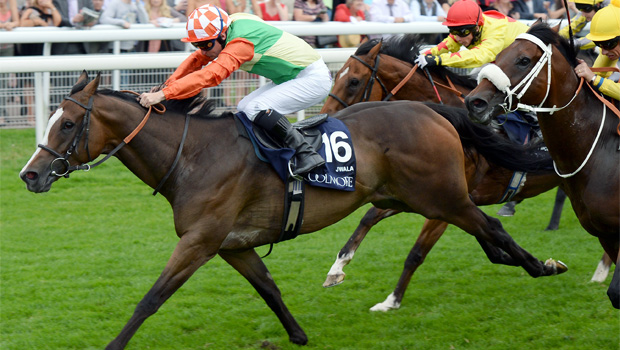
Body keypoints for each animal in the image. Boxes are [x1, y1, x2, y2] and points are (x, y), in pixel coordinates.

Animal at [17, 72, 568, 348]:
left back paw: (544, 264)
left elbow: (150, 299)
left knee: (491, 227)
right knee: (481, 235)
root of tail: (428, 108)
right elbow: (269, 289)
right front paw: (298, 335)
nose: (30, 175)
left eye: (68, 125)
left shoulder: (199, 242)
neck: (193, 155)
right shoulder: (231, 245)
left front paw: (114, 346)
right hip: (405, 197)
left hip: (442, 195)